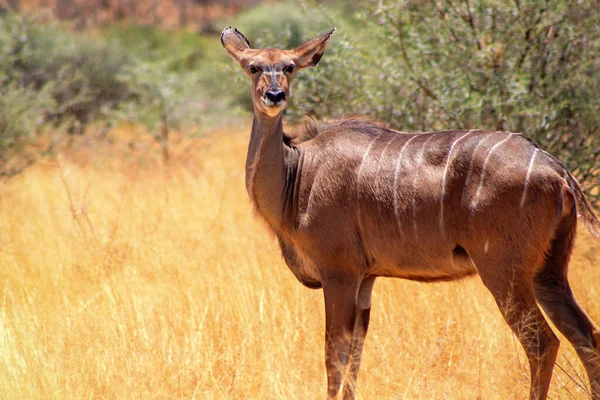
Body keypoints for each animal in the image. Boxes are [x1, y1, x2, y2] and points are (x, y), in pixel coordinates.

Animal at [220, 26, 600, 398]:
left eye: (289, 67)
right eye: (253, 67)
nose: (274, 96)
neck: (297, 173)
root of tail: (555, 169)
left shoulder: (339, 273)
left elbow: (334, 355)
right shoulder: (366, 280)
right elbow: (354, 356)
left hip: (503, 271)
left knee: (542, 342)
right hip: (548, 272)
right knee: (587, 337)